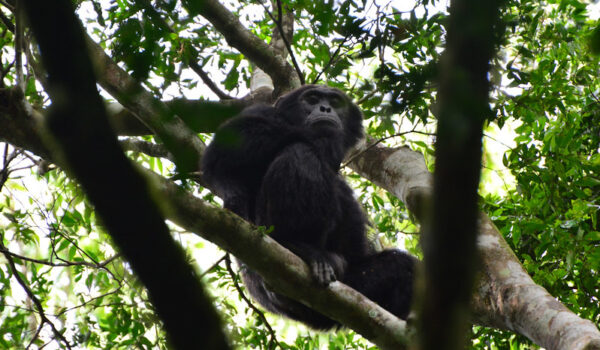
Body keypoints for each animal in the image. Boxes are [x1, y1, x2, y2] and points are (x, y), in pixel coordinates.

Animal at [202, 85, 418, 330]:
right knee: (301, 153)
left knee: (402, 267)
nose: (325, 109)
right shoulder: (261, 113)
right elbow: (224, 153)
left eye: (335, 101)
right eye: (312, 99)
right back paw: (297, 246)